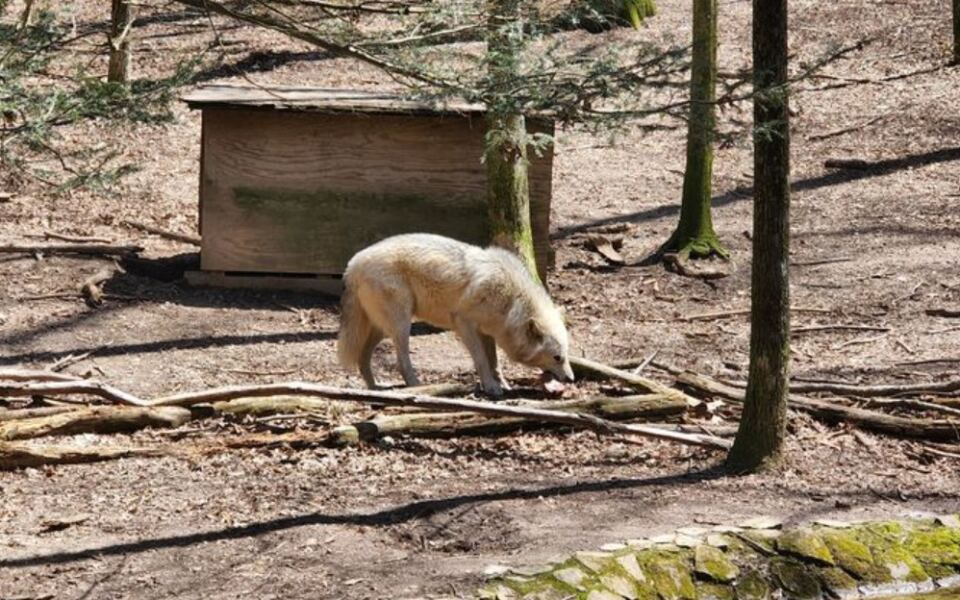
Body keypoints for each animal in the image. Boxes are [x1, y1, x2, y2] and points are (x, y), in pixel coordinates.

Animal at [337, 233, 574, 397]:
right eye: (557, 357)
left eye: (566, 355)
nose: (571, 379)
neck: (511, 299)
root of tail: (353, 264)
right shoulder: (464, 323)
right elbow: (481, 360)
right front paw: (491, 387)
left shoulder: (487, 332)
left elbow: (494, 362)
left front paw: (502, 384)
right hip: (401, 326)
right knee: (401, 361)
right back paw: (416, 386)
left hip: (381, 329)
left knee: (362, 357)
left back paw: (375, 388)